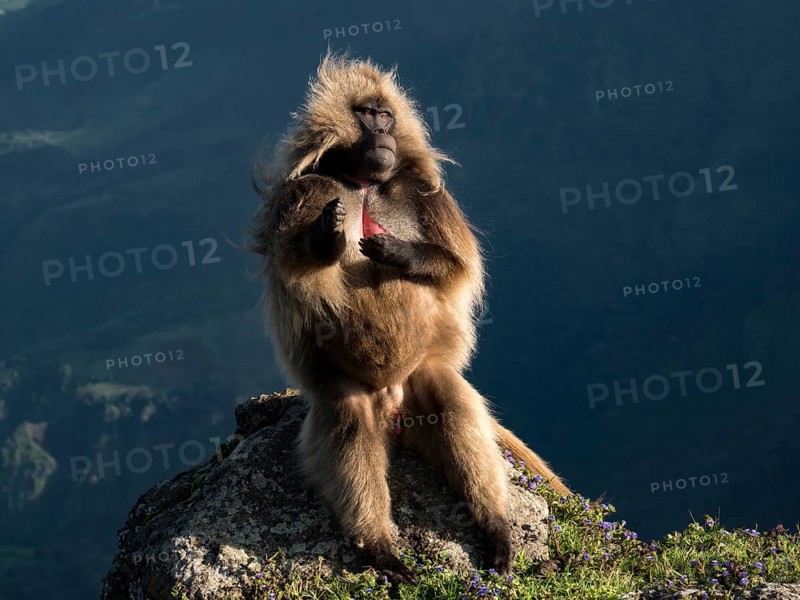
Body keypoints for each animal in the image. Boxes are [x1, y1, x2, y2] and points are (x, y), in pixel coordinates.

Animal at [250, 52, 571, 584]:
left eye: (386, 115)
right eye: (367, 114)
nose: (383, 131)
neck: (363, 184)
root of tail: (393, 408)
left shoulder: (423, 194)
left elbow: (459, 267)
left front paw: (399, 252)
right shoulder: (303, 193)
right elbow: (294, 268)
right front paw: (326, 240)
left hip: (421, 378)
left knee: (453, 403)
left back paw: (496, 528)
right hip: (353, 392)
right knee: (349, 421)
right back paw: (380, 547)